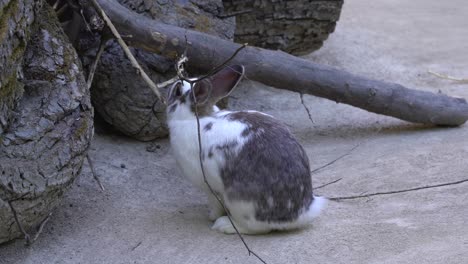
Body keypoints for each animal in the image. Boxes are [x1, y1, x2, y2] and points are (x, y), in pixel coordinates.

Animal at [167, 65, 326, 234]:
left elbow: (215, 204)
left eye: (178, 91)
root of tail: (300, 215)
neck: (193, 118)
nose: (172, 85)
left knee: (256, 227)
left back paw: (224, 225)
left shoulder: (209, 188)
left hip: (240, 203)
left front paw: (211, 216)